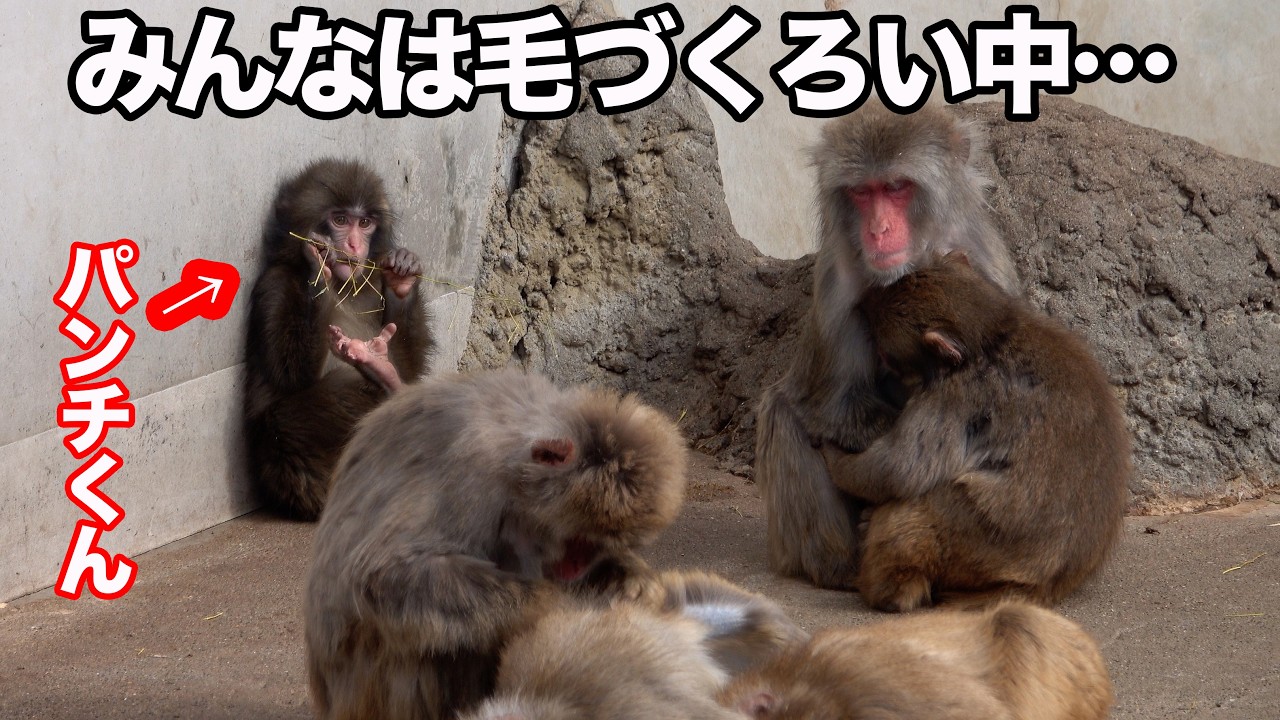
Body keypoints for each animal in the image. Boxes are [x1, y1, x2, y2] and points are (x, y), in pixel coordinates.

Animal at [242, 158, 433, 520]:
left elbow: (410, 369)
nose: (355, 246)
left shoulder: (371, 283)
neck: (344, 286)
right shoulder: (274, 286)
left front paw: (403, 278)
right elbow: (291, 376)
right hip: (294, 471)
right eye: (340, 220)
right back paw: (384, 382)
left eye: (365, 223)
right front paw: (316, 263)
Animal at [304, 369, 688, 720]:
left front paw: (632, 577)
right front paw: (560, 603)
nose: (577, 566)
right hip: (373, 696)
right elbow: (384, 575)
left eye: (596, 546)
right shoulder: (468, 471)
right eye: (578, 539)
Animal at [754, 102, 1019, 589]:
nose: (877, 230)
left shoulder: (983, 265)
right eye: (862, 192)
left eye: (896, 187)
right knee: (781, 409)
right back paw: (840, 566)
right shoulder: (837, 281)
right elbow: (834, 406)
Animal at [818, 252, 1129, 612]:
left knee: (918, 508)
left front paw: (834, 458)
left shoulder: (953, 397)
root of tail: (1044, 588)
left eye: (887, 357)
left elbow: (898, 471)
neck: (993, 334)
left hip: (975, 542)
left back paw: (891, 591)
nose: (883, 375)